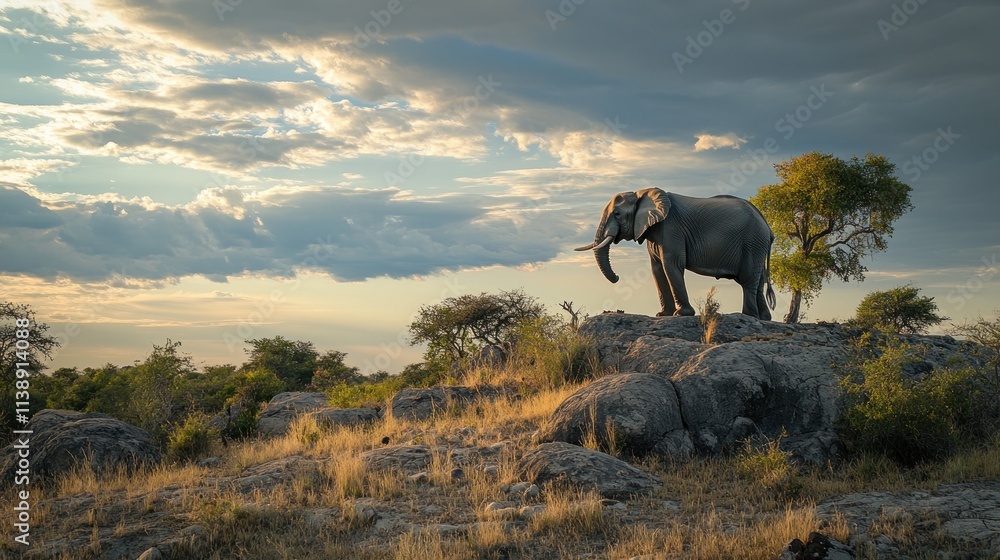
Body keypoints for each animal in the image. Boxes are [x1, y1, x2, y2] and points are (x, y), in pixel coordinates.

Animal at [575, 188, 776, 320]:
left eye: (617, 214)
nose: (617, 277)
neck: (642, 194)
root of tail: (767, 226)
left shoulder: (671, 228)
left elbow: (671, 265)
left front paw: (681, 314)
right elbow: (656, 269)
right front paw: (662, 315)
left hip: (753, 242)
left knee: (749, 278)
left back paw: (748, 316)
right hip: (757, 245)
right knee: (758, 281)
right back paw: (764, 318)